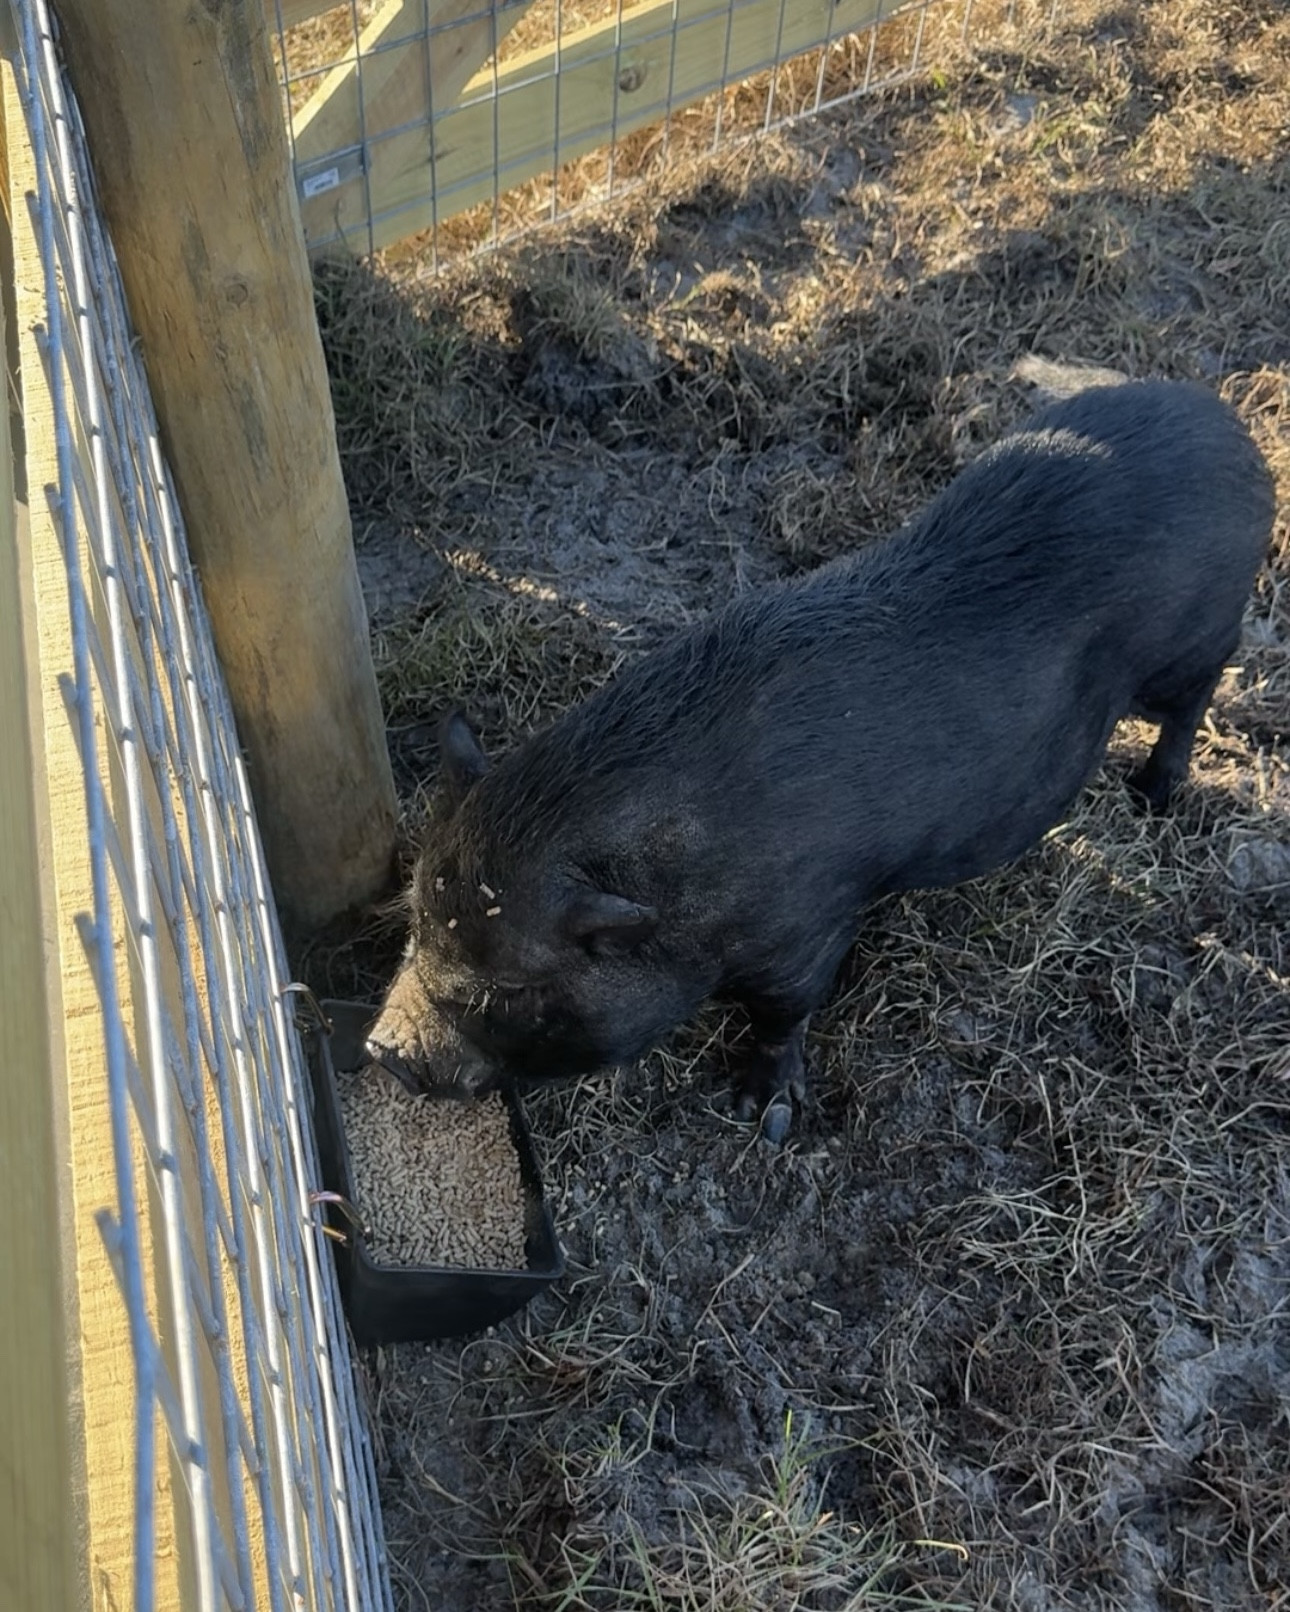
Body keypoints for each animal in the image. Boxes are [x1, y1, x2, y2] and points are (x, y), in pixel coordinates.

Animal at [366, 378, 1275, 1142]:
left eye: (513, 987)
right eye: (416, 918)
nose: (384, 1053)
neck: (685, 876)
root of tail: (1235, 432)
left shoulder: (808, 926)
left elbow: (786, 1013)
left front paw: (760, 1117)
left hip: (1193, 642)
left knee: (1197, 695)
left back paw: (1152, 794)